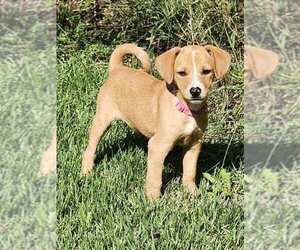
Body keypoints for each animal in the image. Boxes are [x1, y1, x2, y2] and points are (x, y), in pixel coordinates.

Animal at [81, 42, 231, 199]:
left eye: (206, 71)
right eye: (181, 73)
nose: (195, 91)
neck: (186, 109)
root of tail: (117, 68)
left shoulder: (194, 144)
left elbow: (190, 171)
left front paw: (192, 192)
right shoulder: (157, 146)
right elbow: (155, 177)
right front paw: (153, 199)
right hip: (102, 119)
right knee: (90, 148)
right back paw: (86, 172)